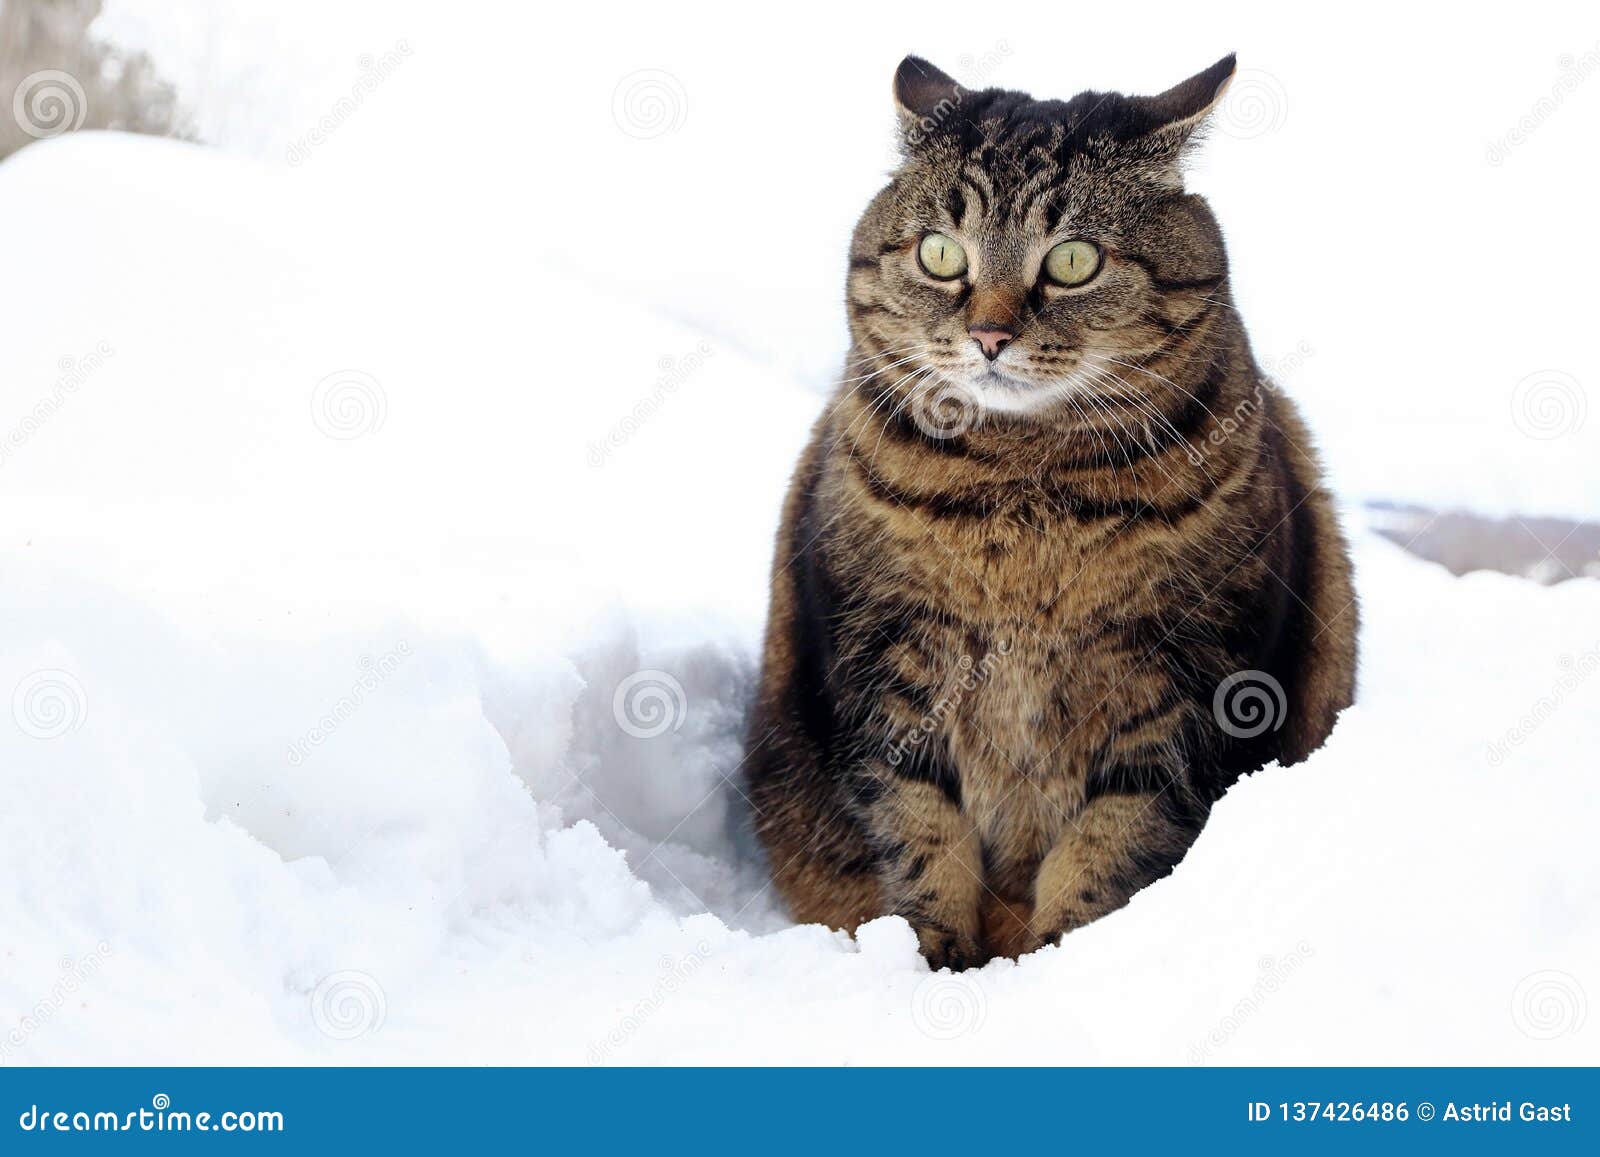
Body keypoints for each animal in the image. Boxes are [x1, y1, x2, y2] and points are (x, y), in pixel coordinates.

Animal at [742, 54, 1356, 966]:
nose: (991, 335)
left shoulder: (1191, 690)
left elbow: (1115, 852)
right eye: (939, 253)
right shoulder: (885, 668)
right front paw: (933, 964)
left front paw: (1063, 964)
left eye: (1072, 261)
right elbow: (917, 836)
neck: (1025, 488)